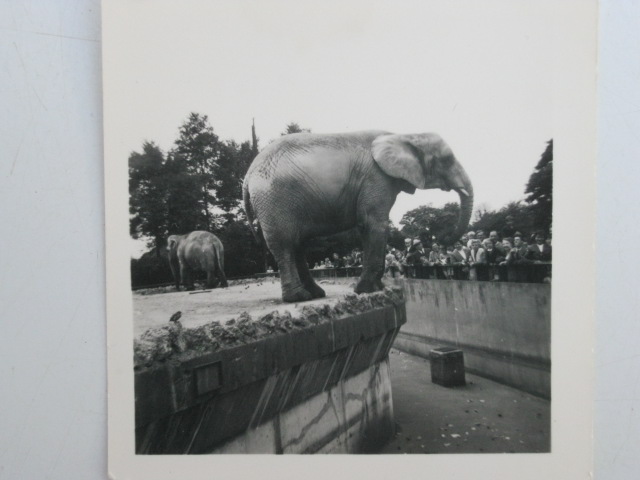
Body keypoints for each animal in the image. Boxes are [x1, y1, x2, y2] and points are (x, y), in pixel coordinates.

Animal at [242, 130, 473, 303]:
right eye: (447, 160)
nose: (442, 238)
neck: (404, 135)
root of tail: (248, 175)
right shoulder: (376, 178)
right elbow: (375, 224)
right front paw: (368, 290)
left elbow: (366, 227)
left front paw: (376, 288)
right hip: (274, 201)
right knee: (285, 245)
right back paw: (299, 298)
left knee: (297, 245)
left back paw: (315, 294)